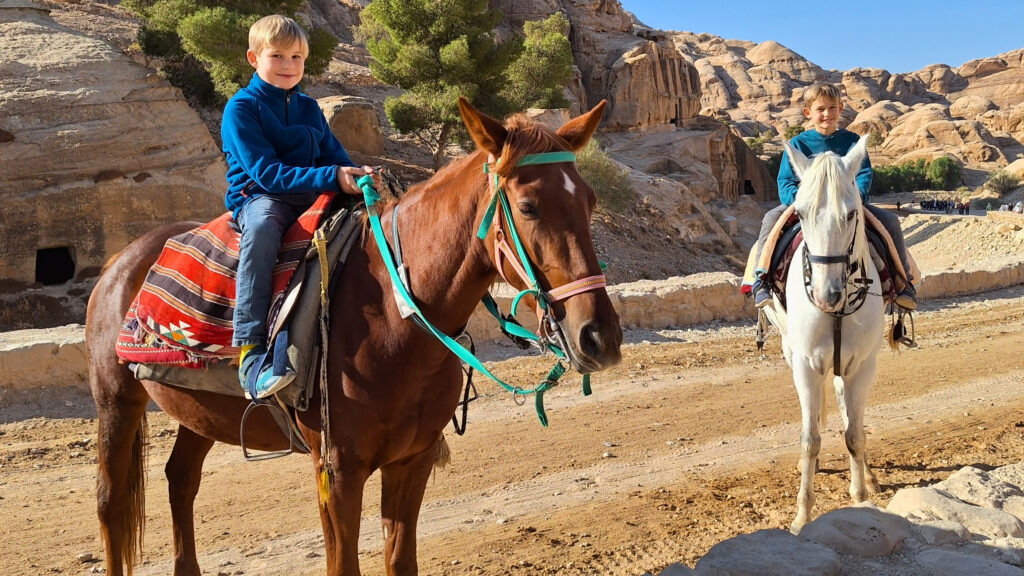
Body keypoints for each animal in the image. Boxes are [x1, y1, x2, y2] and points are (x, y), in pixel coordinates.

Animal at [85, 97, 623, 576]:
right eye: (528, 207)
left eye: (591, 201)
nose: (600, 337)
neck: (394, 318)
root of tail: (121, 260)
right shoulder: (338, 472)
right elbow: (343, 564)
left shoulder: (412, 461)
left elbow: (400, 561)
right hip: (117, 400)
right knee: (111, 504)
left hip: (198, 412)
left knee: (181, 481)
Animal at [760, 135, 884, 533]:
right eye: (800, 214)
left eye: (851, 214)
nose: (825, 295)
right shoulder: (805, 364)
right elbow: (809, 439)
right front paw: (802, 515)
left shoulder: (862, 364)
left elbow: (855, 433)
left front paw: (860, 496)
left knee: (849, 414)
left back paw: (868, 474)